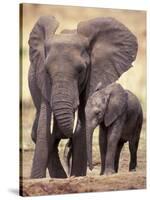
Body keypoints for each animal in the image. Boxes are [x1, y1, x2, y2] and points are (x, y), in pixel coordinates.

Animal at [28, 15, 138, 178]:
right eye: (47, 71)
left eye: (81, 70)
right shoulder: (42, 81)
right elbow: (44, 125)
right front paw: (36, 179)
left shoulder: (94, 74)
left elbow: (82, 125)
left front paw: (78, 176)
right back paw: (60, 176)